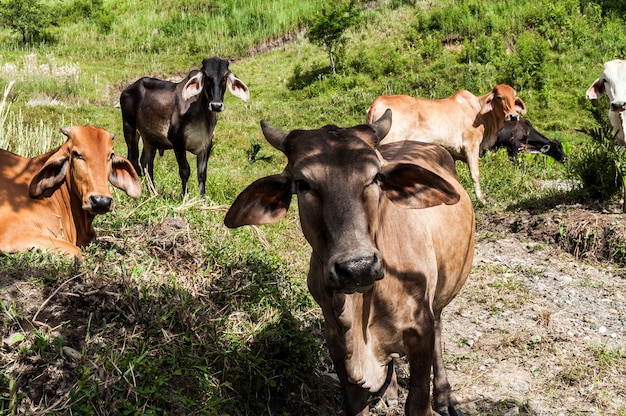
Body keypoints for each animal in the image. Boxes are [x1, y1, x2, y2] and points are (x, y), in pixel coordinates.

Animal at [119, 55, 249, 197]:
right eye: (206, 76)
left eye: (225, 76)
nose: (216, 105)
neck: (202, 115)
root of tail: (127, 89)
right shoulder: (177, 141)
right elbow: (185, 170)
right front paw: (185, 197)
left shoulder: (206, 144)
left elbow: (202, 174)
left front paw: (201, 199)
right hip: (129, 129)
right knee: (133, 161)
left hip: (149, 138)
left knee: (146, 162)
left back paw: (153, 194)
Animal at [224, 110, 472, 416]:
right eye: (302, 183)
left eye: (376, 177)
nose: (358, 267)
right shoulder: (335, 337)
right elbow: (355, 403)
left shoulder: (420, 326)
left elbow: (417, 402)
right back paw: (390, 391)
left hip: (440, 297)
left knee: (438, 330)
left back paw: (444, 396)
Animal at [364, 83, 524, 203]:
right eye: (499, 97)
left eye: (514, 97)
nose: (513, 116)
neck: (481, 114)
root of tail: (377, 102)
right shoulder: (471, 146)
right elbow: (475, 174)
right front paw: (481, 200)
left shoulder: (452, 153)